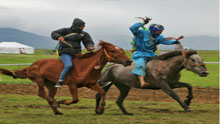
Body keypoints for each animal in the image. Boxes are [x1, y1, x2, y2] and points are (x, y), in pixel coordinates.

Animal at [0, 41, 131, 115]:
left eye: (122, 50)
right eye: (112, 50)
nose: (128, 61)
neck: (86, 66)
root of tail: (30, 66)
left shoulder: (92, 84)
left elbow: (102, 92)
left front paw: (100, 109)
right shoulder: (72, 85)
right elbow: (75, 99)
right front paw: (62, 101)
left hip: (51, 85)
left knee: (49, 96)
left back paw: (57, 111)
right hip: (39, 80)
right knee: (41, 94)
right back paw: (56, 104)